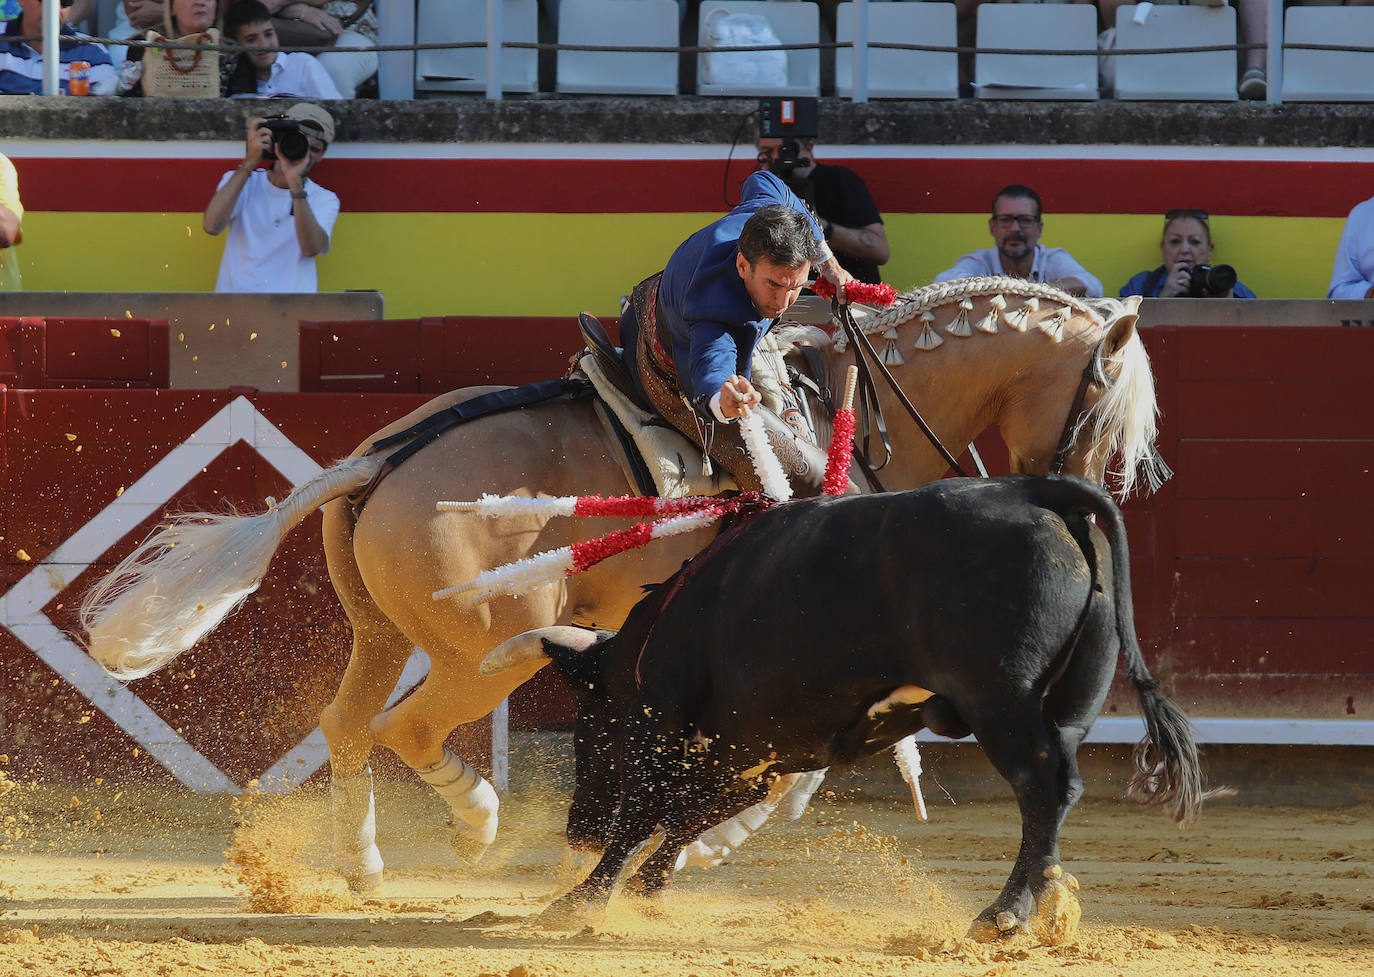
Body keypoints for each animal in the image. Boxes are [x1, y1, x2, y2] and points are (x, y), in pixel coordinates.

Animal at [80, 274, 1165, 895]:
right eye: (1105, 412)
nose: (1094, 488)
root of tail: (383, 457)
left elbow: (795, 769)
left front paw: (693, 843)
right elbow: (793, 775)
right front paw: (706, 846)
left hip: (382, 634)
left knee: (350, 724)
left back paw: (364, 864)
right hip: (482, 650)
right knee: (409, 727)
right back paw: (476, 826)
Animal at [478, 472, 1209, 939]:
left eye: (587, 722)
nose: (576, 829)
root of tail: (1030, 488)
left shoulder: (665, 712)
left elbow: (645, 809)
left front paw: (581, 900)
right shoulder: (762, 754)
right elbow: (686, 816)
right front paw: (642, 892)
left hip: (1000, 700)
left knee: (1040, 787)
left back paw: (1005, 913)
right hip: (1071, 708)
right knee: (1063, 788)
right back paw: (1047, 904)